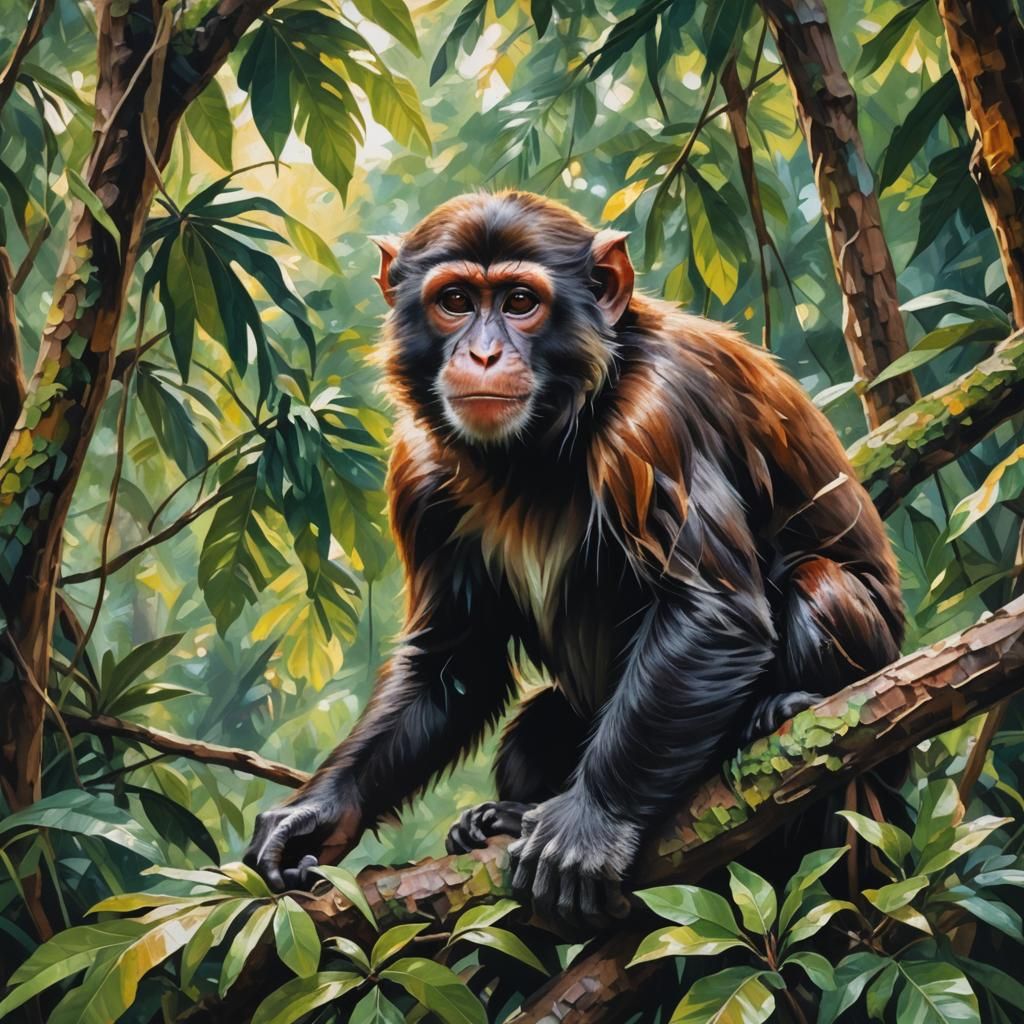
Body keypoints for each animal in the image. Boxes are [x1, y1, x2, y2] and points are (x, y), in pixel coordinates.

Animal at [244, 190, 903, 928]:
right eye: (455, 301)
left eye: (520, 301)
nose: (482, 352)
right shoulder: (417, 466)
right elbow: (453, 660)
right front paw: (317, 812)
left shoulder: (657, 418)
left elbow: (710, 612)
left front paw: (589, 825)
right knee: (530, 732)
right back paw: (504, 816)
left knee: (822, 586)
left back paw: (784, 709)